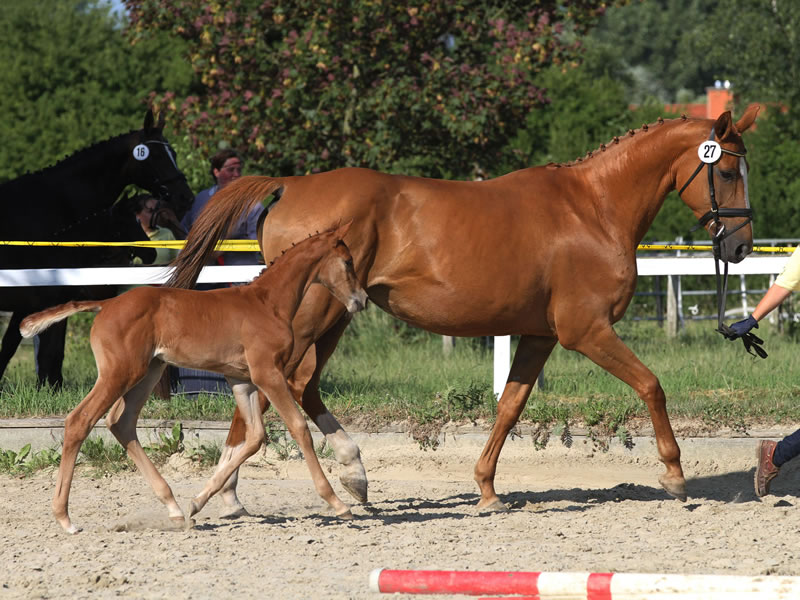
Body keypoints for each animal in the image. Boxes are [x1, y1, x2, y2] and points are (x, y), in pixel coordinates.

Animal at [20, 225, 366, 536]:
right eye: (348, 261)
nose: (360, 299)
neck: (267, 303)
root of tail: (106, 305)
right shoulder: (267, 373)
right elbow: (298, 428)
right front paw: (338, 503)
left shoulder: (241, 379)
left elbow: (255, 436)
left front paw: (197, 503)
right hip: (121, 373)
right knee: (80, 420)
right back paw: (65, 518)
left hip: (149, 372)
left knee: (121, 422)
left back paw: (174, 509)